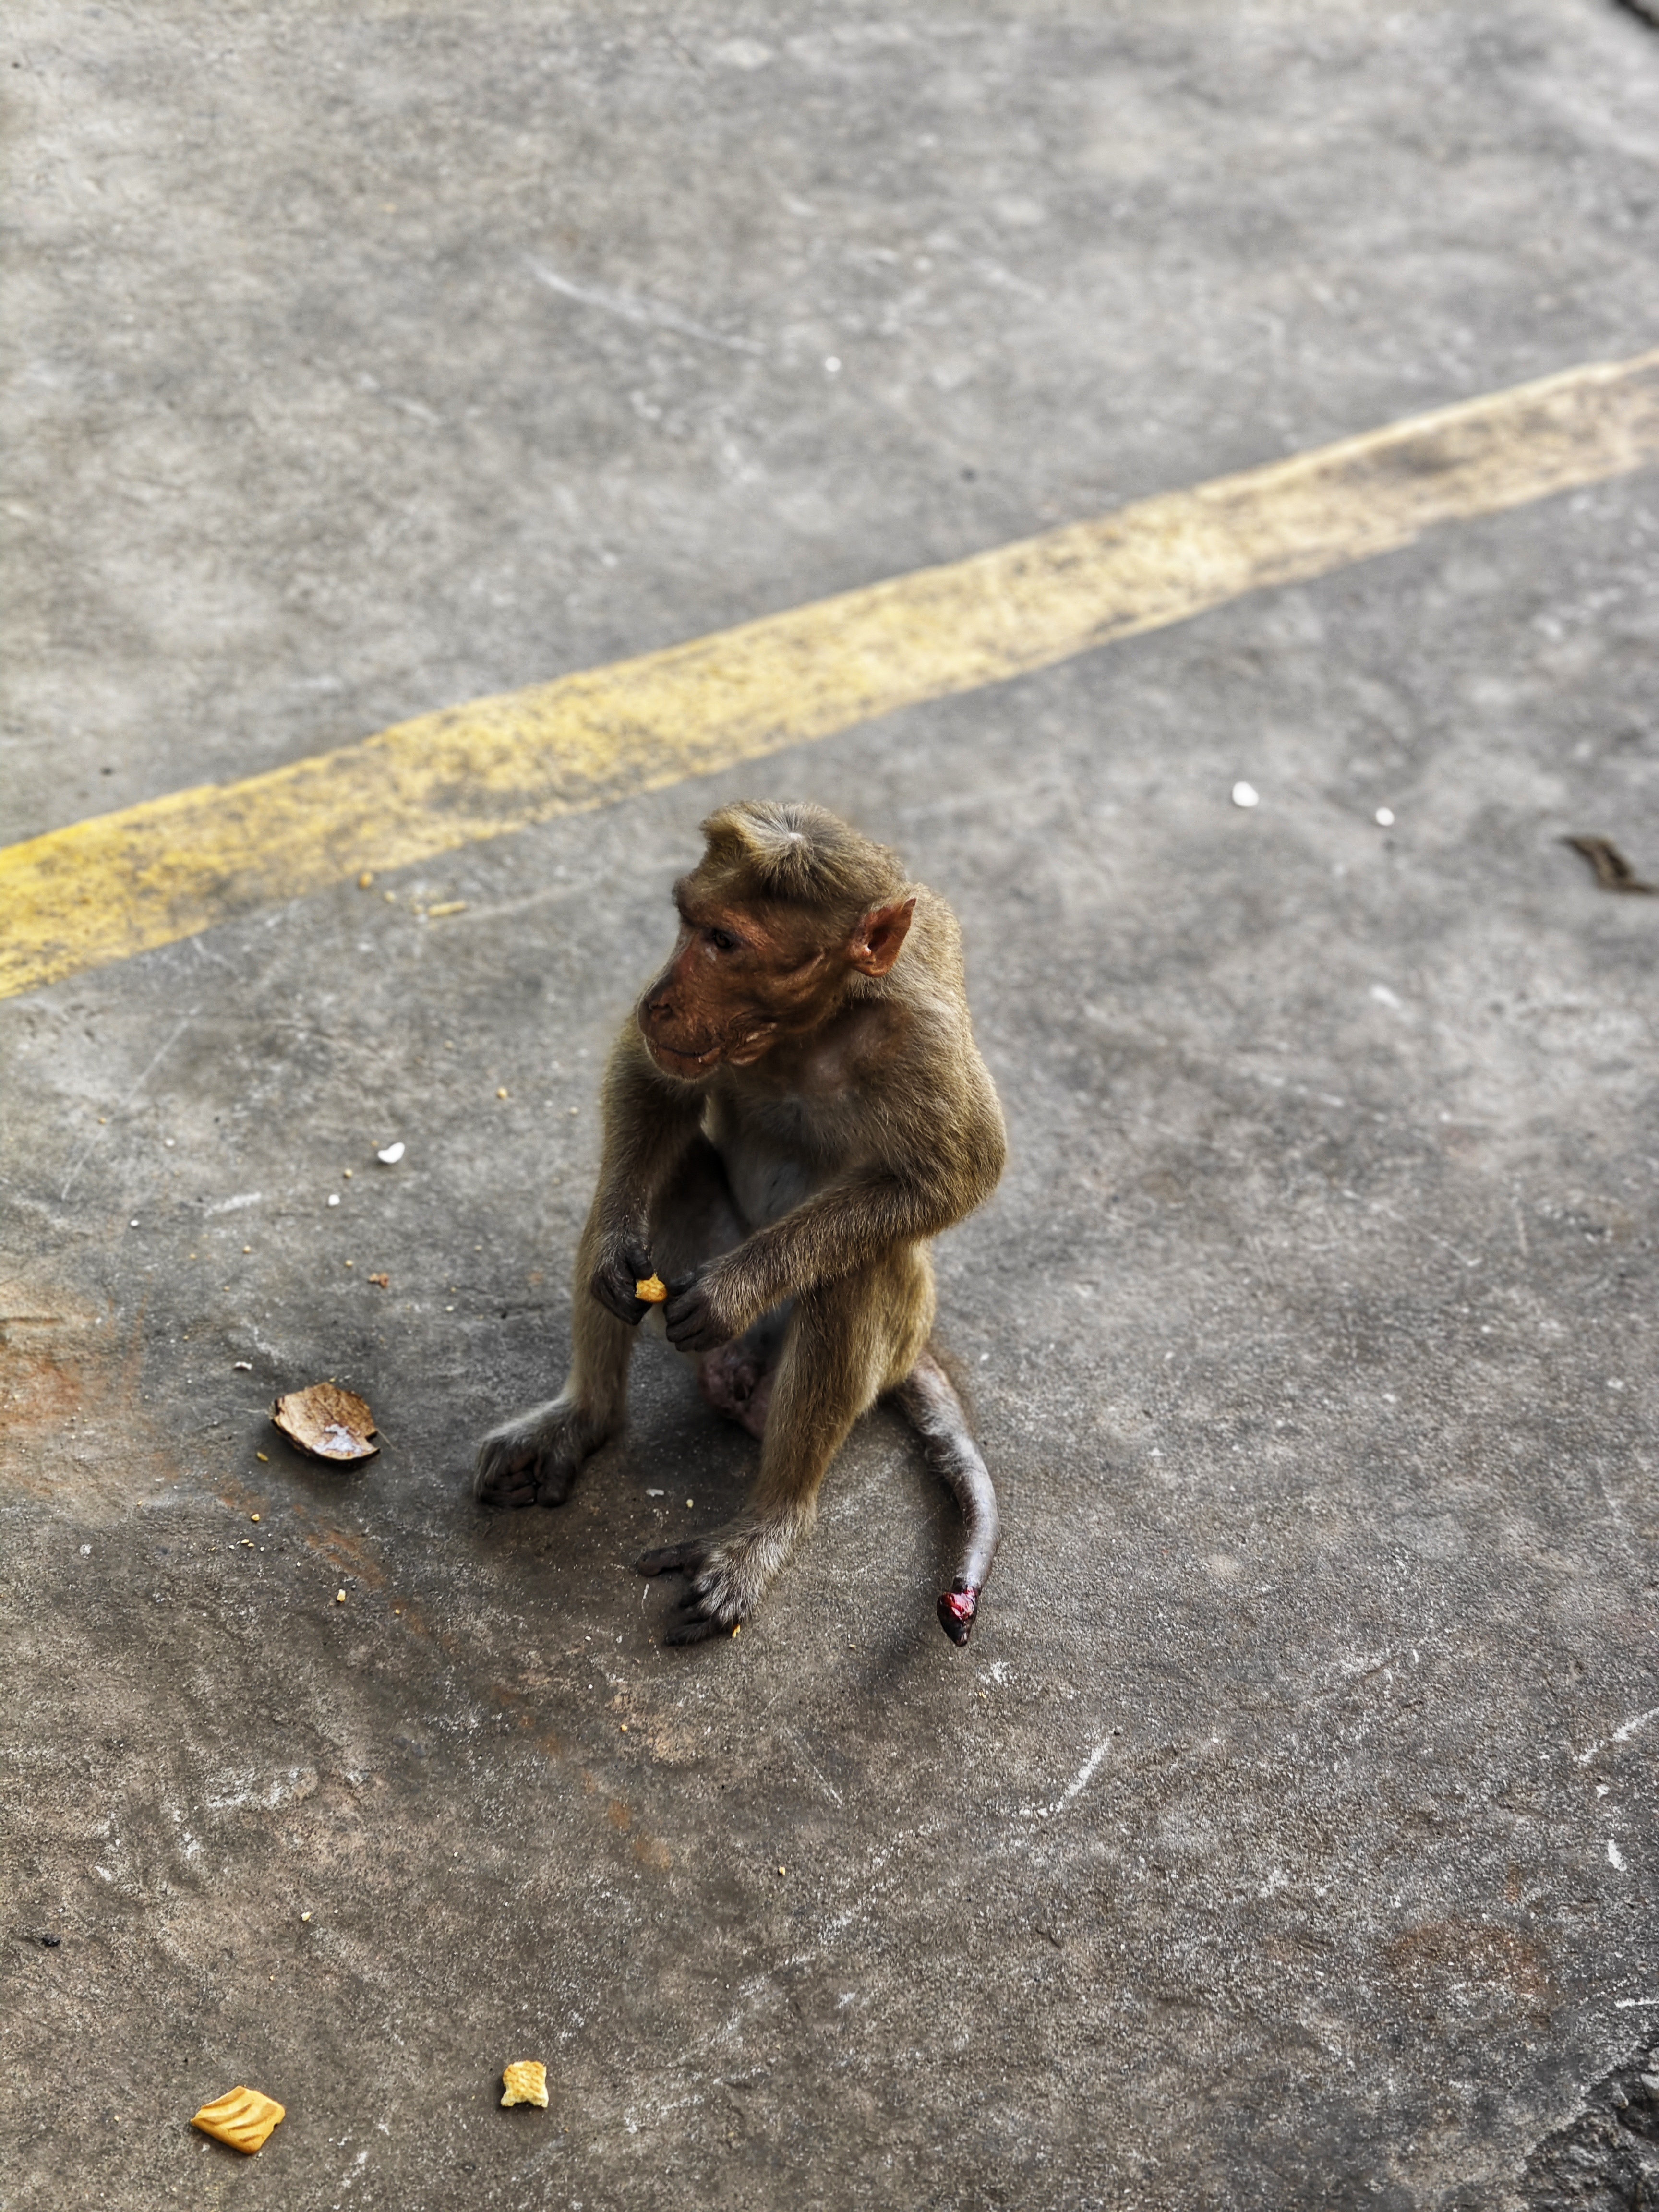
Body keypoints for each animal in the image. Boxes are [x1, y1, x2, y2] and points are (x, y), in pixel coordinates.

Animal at [474, 800, 1006, 1646]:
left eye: (725, 943)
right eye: (688, 924)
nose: (659, 999)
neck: (813, 1026)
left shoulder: (922, 1034)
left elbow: (959, 1173)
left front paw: (738, 1288)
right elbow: (651, 1076)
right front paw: (616, 1248)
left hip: (890, 1333)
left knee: (857, 1268)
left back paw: (770, 1522)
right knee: (659, 1167)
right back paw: (584, 1418)